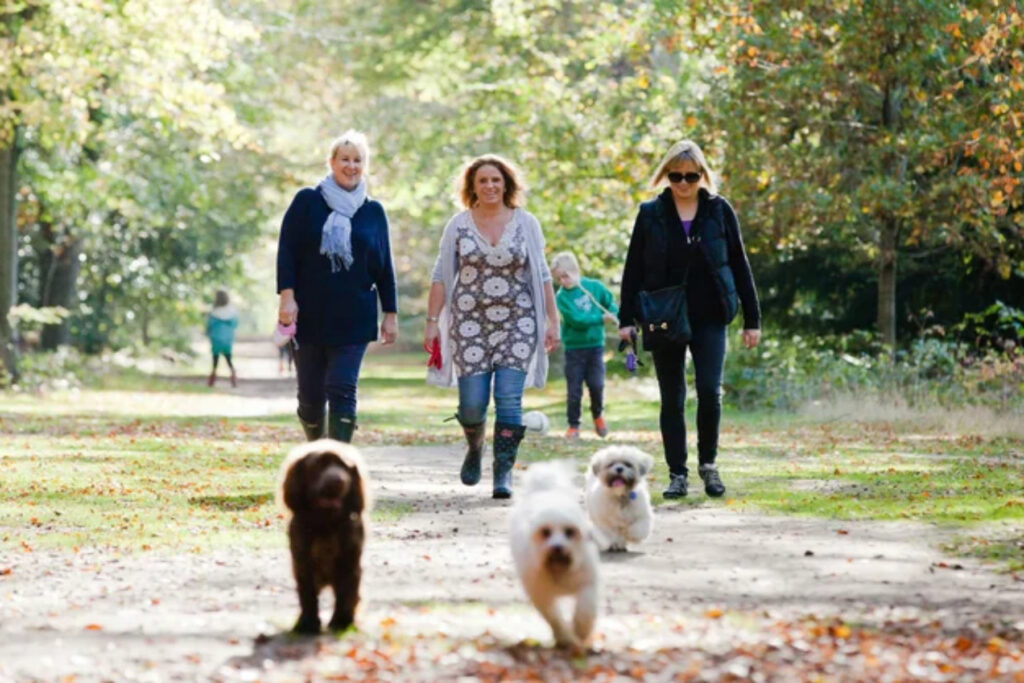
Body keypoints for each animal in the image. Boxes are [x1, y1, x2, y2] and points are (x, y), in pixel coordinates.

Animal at [509, 462, 598, 651]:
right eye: (545, 532)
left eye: (569, 532)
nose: (557, 547)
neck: (559, 568)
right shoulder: (541, 593)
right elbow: (554, 618)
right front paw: (565, 638)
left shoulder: (587, 583)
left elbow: (585, 609)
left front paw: (581, 631)